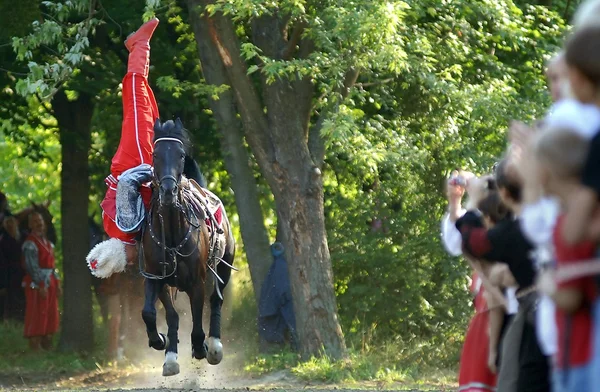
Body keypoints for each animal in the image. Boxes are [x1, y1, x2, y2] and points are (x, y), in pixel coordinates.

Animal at [140, 119, 234, 376]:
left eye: (180, 155)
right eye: (155, 154)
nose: (168, 191)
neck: (173, 235)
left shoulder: (197, 282)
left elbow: (198, 320)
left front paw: (201, 347)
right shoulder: (156, 278)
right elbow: (153, 313)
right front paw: (162, 343)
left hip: (225, 265)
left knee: (216, 300)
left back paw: (214, 346)